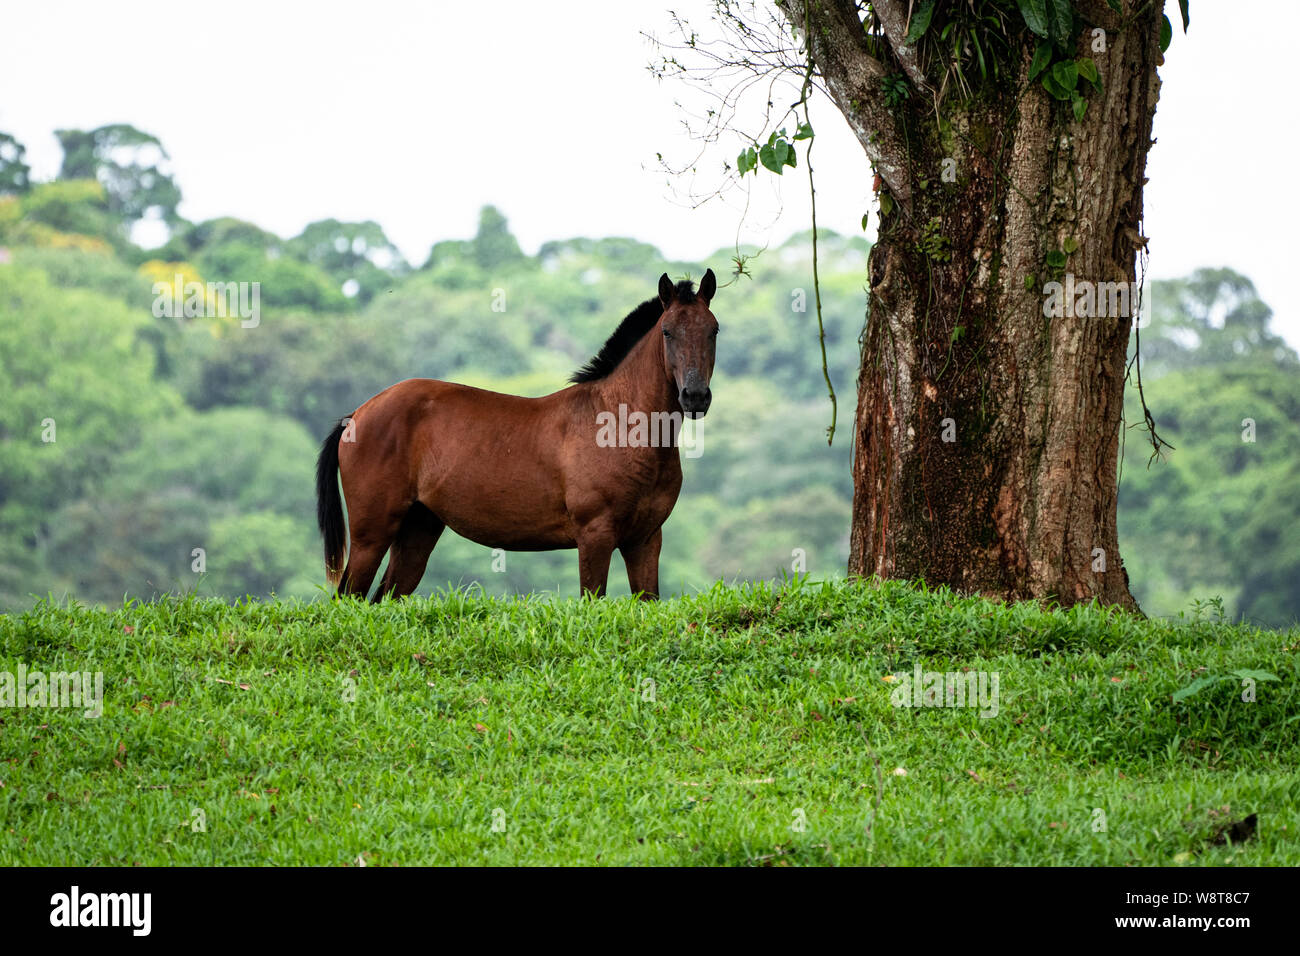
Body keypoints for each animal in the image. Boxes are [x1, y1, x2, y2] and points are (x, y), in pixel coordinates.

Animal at [315, 269, 718, 601]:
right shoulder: (595, 536)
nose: (695, 397)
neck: (619, 426)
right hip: (371, 534)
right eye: (667, 331)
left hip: (418, 530)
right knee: (348, 597)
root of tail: (356, 415)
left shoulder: (645, 540)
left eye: (713, 330)